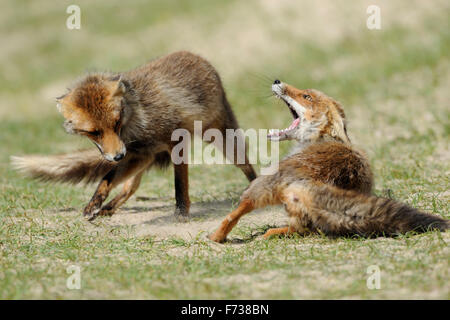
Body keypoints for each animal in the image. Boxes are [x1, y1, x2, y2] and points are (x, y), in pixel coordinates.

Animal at [10, 51, 255, 221]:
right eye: (94, 132)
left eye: (116, 122)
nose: (118, 156)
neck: (138, 120)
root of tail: (198, 57)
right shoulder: (138, 154)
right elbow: (106, 179)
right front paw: (94, 204)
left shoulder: (173, 143)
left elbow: (180, 184)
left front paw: (181, 212)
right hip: (144, 161)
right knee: (131, 187)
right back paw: (108, 208)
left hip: (222, 139)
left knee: (247, 166)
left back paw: (255, 187)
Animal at [209, 80, 448, 242]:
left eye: (306, 96)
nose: (277, 81)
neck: (319, 139)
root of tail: (318, 180)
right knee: (302, 229)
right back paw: (274, 232)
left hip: (263, 185)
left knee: (239, 211)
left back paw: (218, 237)